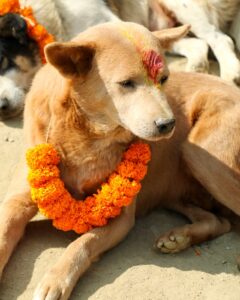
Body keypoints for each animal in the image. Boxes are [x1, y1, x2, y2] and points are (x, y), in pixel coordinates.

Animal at [0, 21, 240, 300]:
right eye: (126, 83)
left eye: (164, 79)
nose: (168, 124)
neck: (86, 137)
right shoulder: (15, 203)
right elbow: (4, 235)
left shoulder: (122, 218)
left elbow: (82, 243)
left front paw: (56, 280)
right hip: (176, 186)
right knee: (221, 221)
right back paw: (179, 237)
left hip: (199, 154)